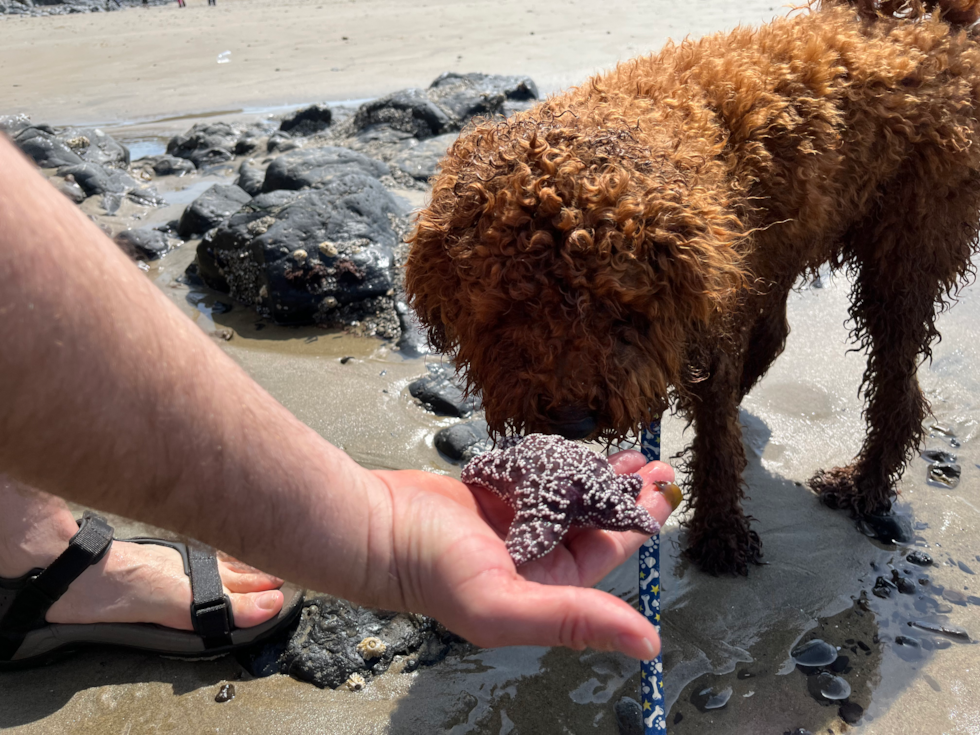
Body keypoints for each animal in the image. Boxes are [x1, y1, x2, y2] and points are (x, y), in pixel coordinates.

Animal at [402, 0, 980, 576]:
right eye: (505, 311)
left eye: (620, 309)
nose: (573, 422)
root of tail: (935, 26)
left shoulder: (710, 325)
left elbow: (719, 436)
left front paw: (720, 533)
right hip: (784, 244)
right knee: (777, 333)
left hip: (905, 252)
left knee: (896, 383)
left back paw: (863, 484)